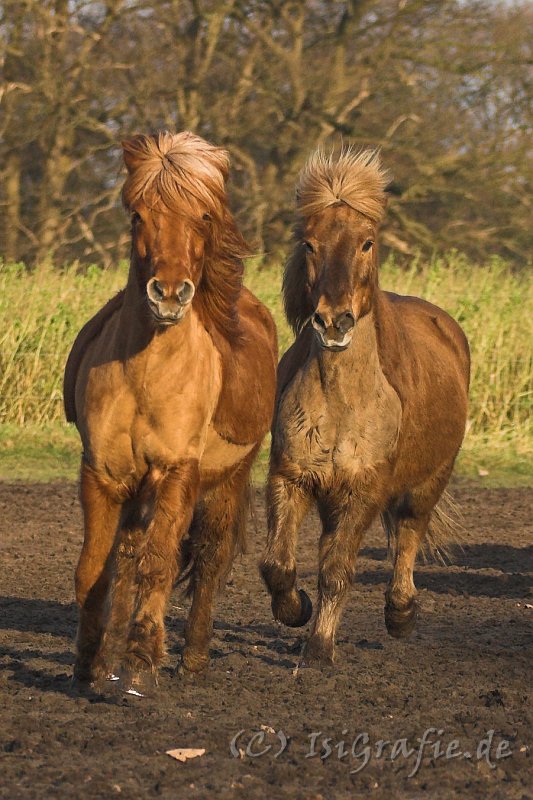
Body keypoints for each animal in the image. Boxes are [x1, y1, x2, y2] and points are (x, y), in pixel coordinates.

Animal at [64, 131, 276, 692]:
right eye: (138, 215)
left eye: (202, 215)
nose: (169, 294)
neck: (146, 375)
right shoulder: (103, 474)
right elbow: (95, 570)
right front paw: (90, 664)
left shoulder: (179, 472)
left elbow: (159, 566)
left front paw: (140, 664)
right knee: (128, 555)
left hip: (227, 481)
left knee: (207, 558)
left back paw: (193, 656)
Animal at [260, 147, 468, 664]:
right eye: (310, 244)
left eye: (367, 243)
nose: (334, 322)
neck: (341, 402)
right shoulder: (291, 477)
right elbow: (278, 563)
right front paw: (297, 609)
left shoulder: (365, 492)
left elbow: (337, 570)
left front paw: (318, 649)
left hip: (428, 483)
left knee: (410, 533)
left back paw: (401, 613)